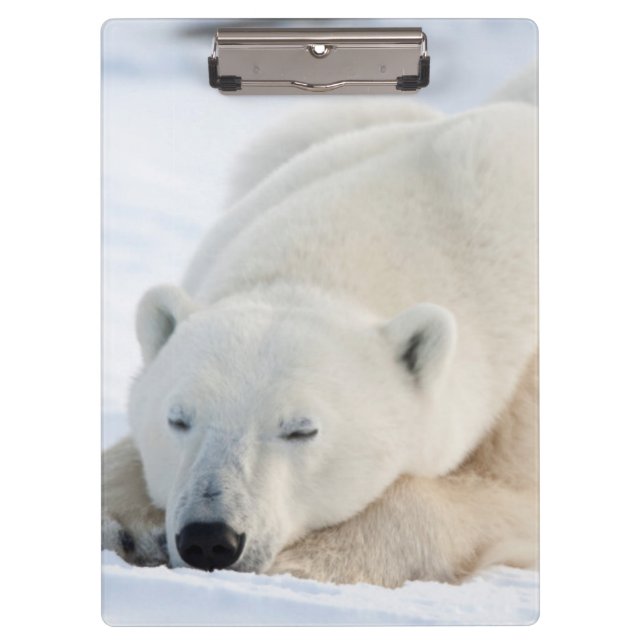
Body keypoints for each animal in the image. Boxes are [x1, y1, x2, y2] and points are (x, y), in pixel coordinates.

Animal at [102, 98, 538, 587]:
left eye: (301, 429)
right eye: (177, 419)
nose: (209, 537)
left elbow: (498, 500)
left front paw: (309, 560)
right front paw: (124, 526)